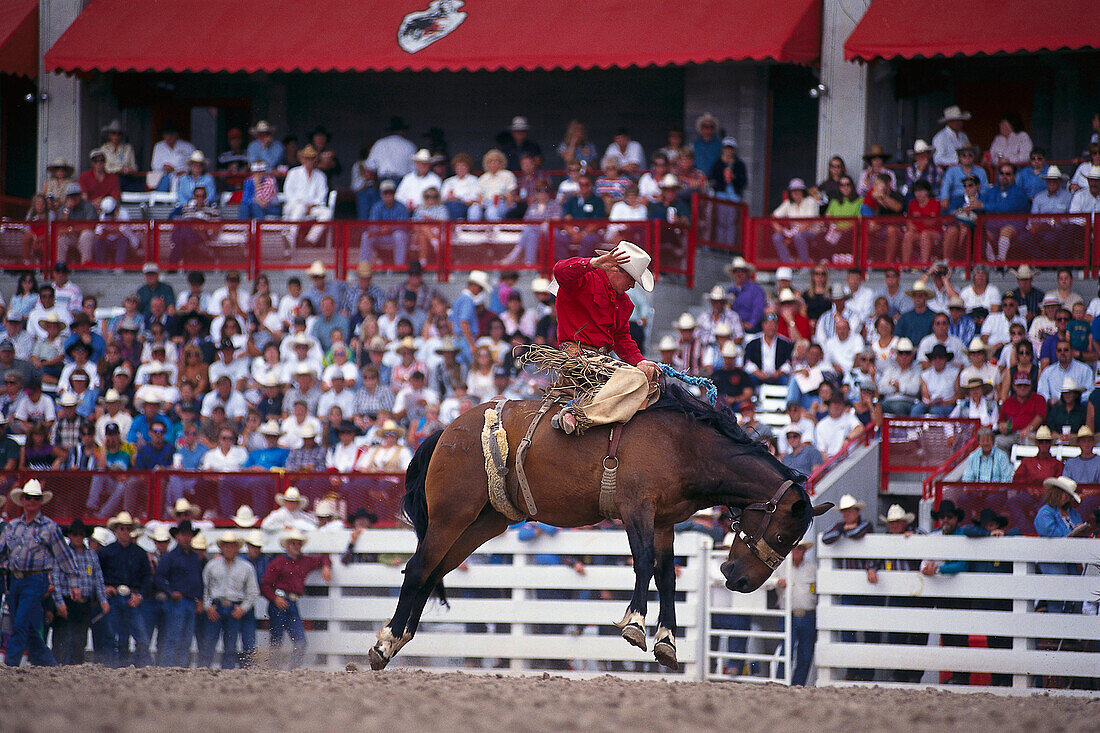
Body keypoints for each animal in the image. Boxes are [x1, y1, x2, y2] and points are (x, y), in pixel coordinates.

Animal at [369, 378, 831, 669]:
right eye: (783, 533)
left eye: (792, 542)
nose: (738, 579)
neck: (683, 445)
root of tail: (446, 430)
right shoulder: (637, 510)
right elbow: (644, 564)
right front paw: (635, 625)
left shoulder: (664, 522)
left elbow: (667, 575)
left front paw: (667, 642)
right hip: (452, 515)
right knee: (418, 568)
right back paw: (385, 642)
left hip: (482, 523)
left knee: (433, 571)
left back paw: (399, 639)